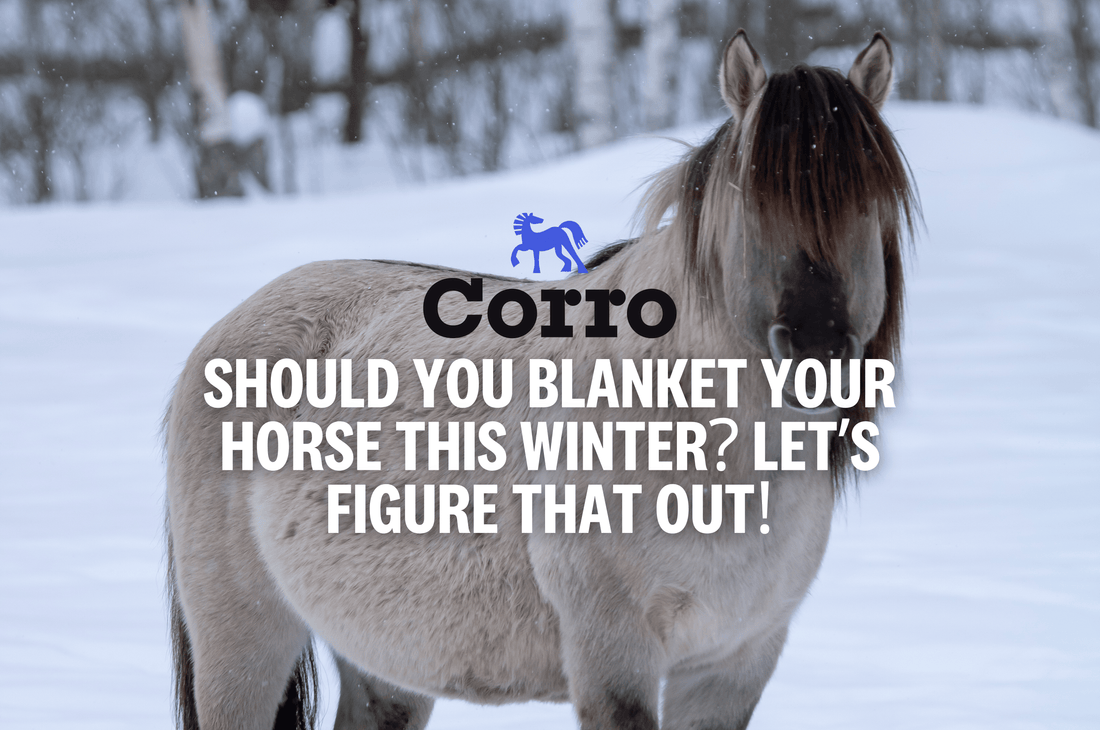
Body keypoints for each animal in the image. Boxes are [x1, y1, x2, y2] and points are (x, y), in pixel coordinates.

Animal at [165, 30, 916, 730]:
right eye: (752, 203)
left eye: (870, 205)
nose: (818, 350)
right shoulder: (615, 658)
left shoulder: (733, 667)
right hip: (244, 642)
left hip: (385, 662)